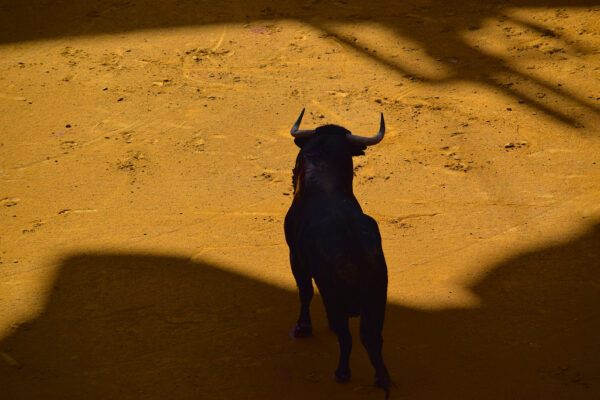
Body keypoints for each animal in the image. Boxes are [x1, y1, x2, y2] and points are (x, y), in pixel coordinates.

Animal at [284, 108, 392, 396]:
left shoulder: (295, 258)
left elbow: (305, 292)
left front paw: (303, 327)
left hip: (336, 298)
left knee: (346, 336)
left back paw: (342, 373)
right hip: (378, 297)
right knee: (374, 337)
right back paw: (381, 378)